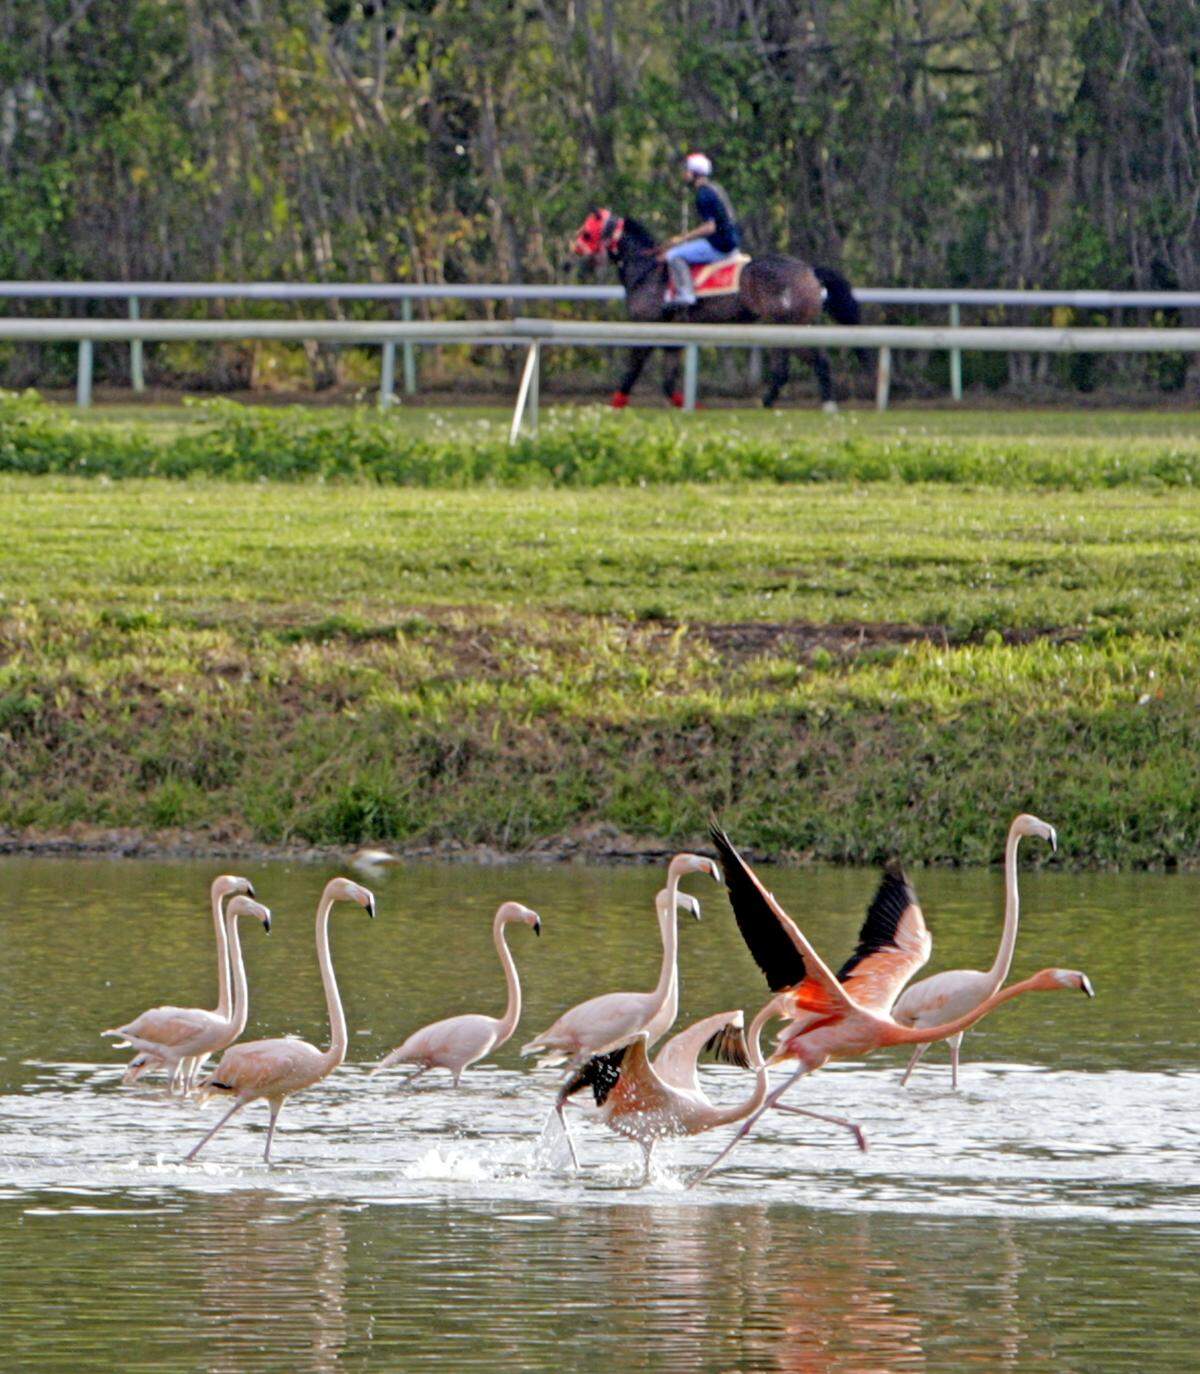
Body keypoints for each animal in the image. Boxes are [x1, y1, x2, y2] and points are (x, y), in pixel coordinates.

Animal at [571, 208, 861, 410]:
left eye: (587, 230)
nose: (571, 251)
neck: (648, 271)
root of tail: (809, 270)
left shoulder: (647, 329)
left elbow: (632, 371)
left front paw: (616, 403)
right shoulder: (672, 339)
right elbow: (667, 382)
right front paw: (689, 404)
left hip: (793, 327)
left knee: (817, 362)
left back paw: (825, 404)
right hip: (782, 328)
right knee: (784, 370)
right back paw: (767, 402)